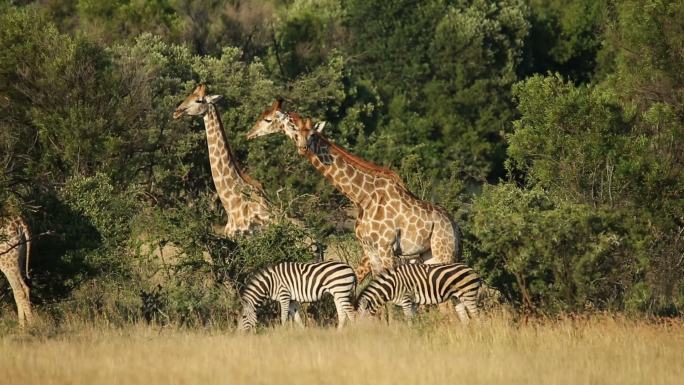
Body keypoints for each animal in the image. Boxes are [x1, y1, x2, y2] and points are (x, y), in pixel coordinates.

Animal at [243, 101, 462, 282]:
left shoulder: (386, 248)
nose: (249, 134)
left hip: (443, 252)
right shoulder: (370, 249)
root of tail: (455, 226)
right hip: (428, 255)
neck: (362, 197)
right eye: (296, 132)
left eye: (267, 119)